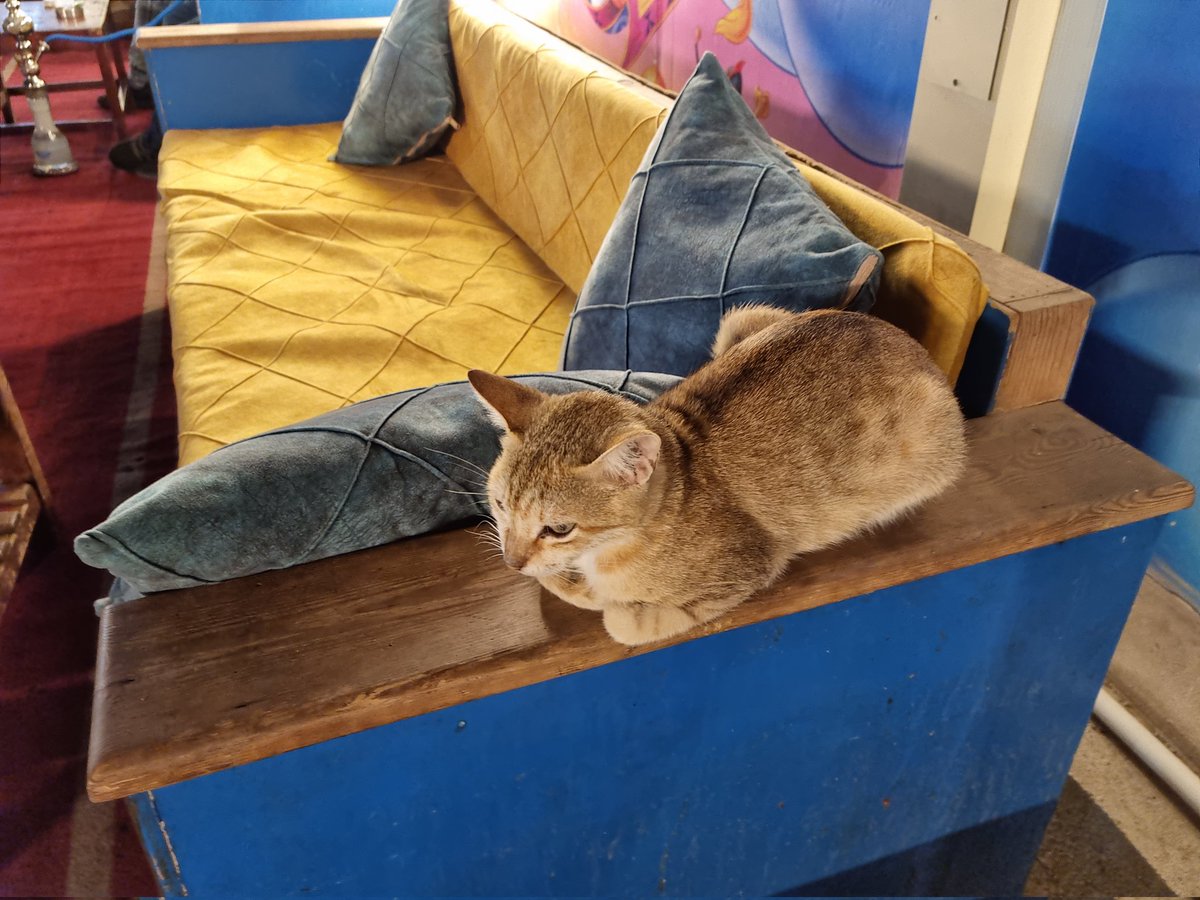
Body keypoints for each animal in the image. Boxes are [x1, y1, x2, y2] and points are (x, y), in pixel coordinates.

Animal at [468, 309, 964, 648]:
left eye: (559, 528)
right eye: (500, 505)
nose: (511, 561)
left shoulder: (751, 566)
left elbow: (623, 620)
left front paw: (604, 599)